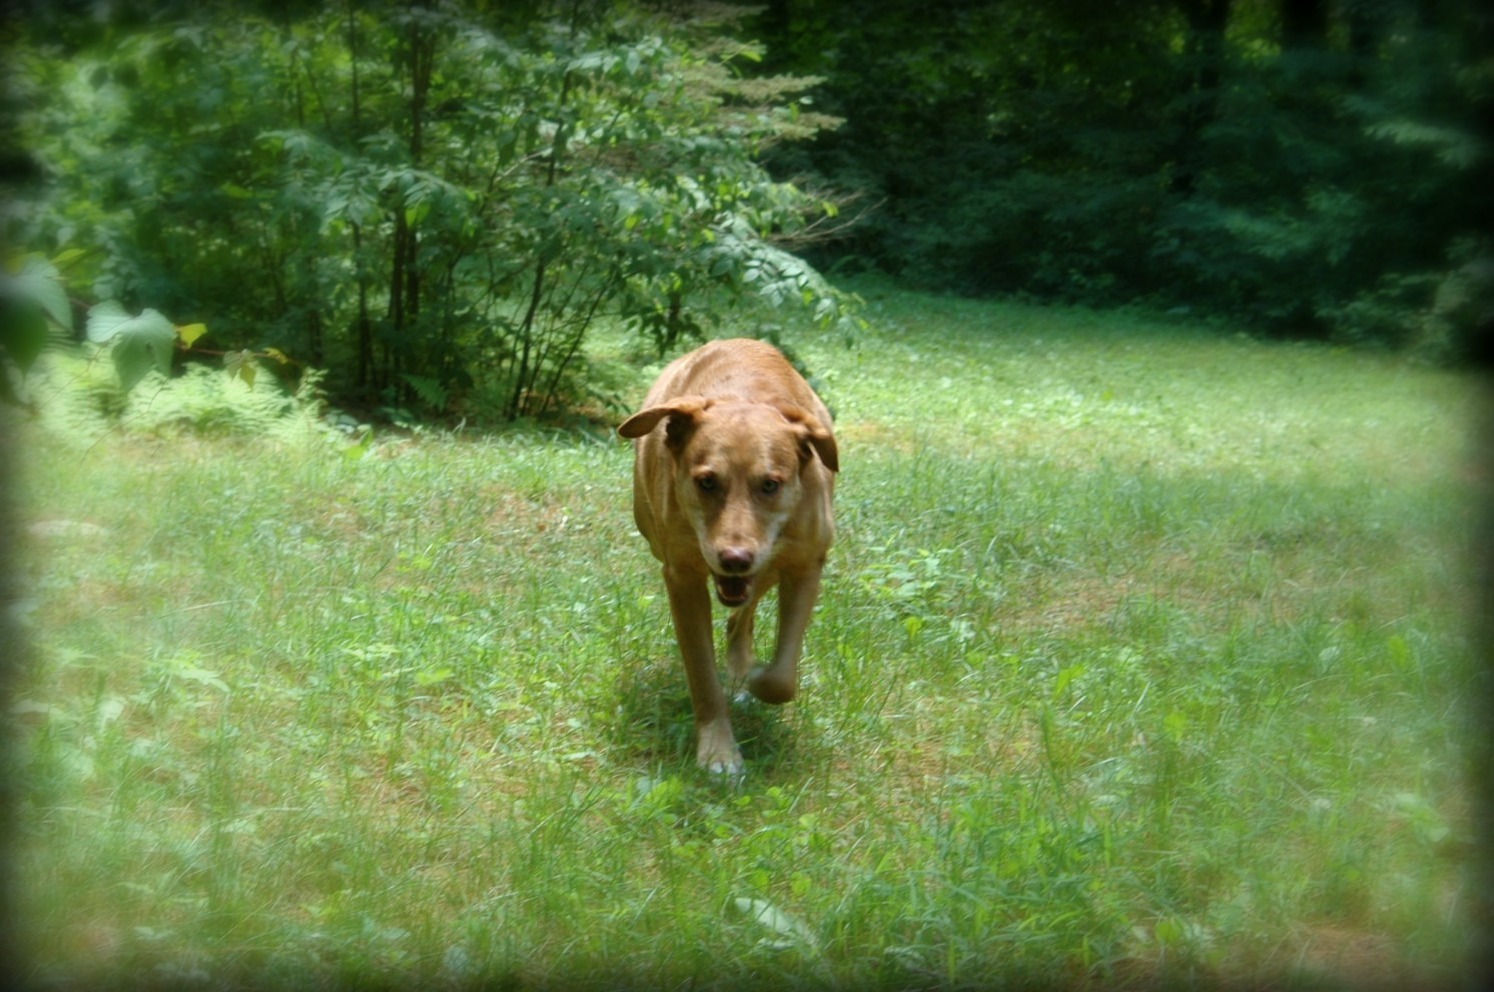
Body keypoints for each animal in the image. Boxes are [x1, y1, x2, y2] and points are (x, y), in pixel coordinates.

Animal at [618, 338, 839, 776]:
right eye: (707, 481)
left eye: (770, 484)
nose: (734, 558)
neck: (745, 396)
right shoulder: (682, 577)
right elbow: (703, 676)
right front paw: (719, 752)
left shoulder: (806, 564)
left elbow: (781, 677)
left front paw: (755, 680)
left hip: (772, 565)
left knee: (744, 615)